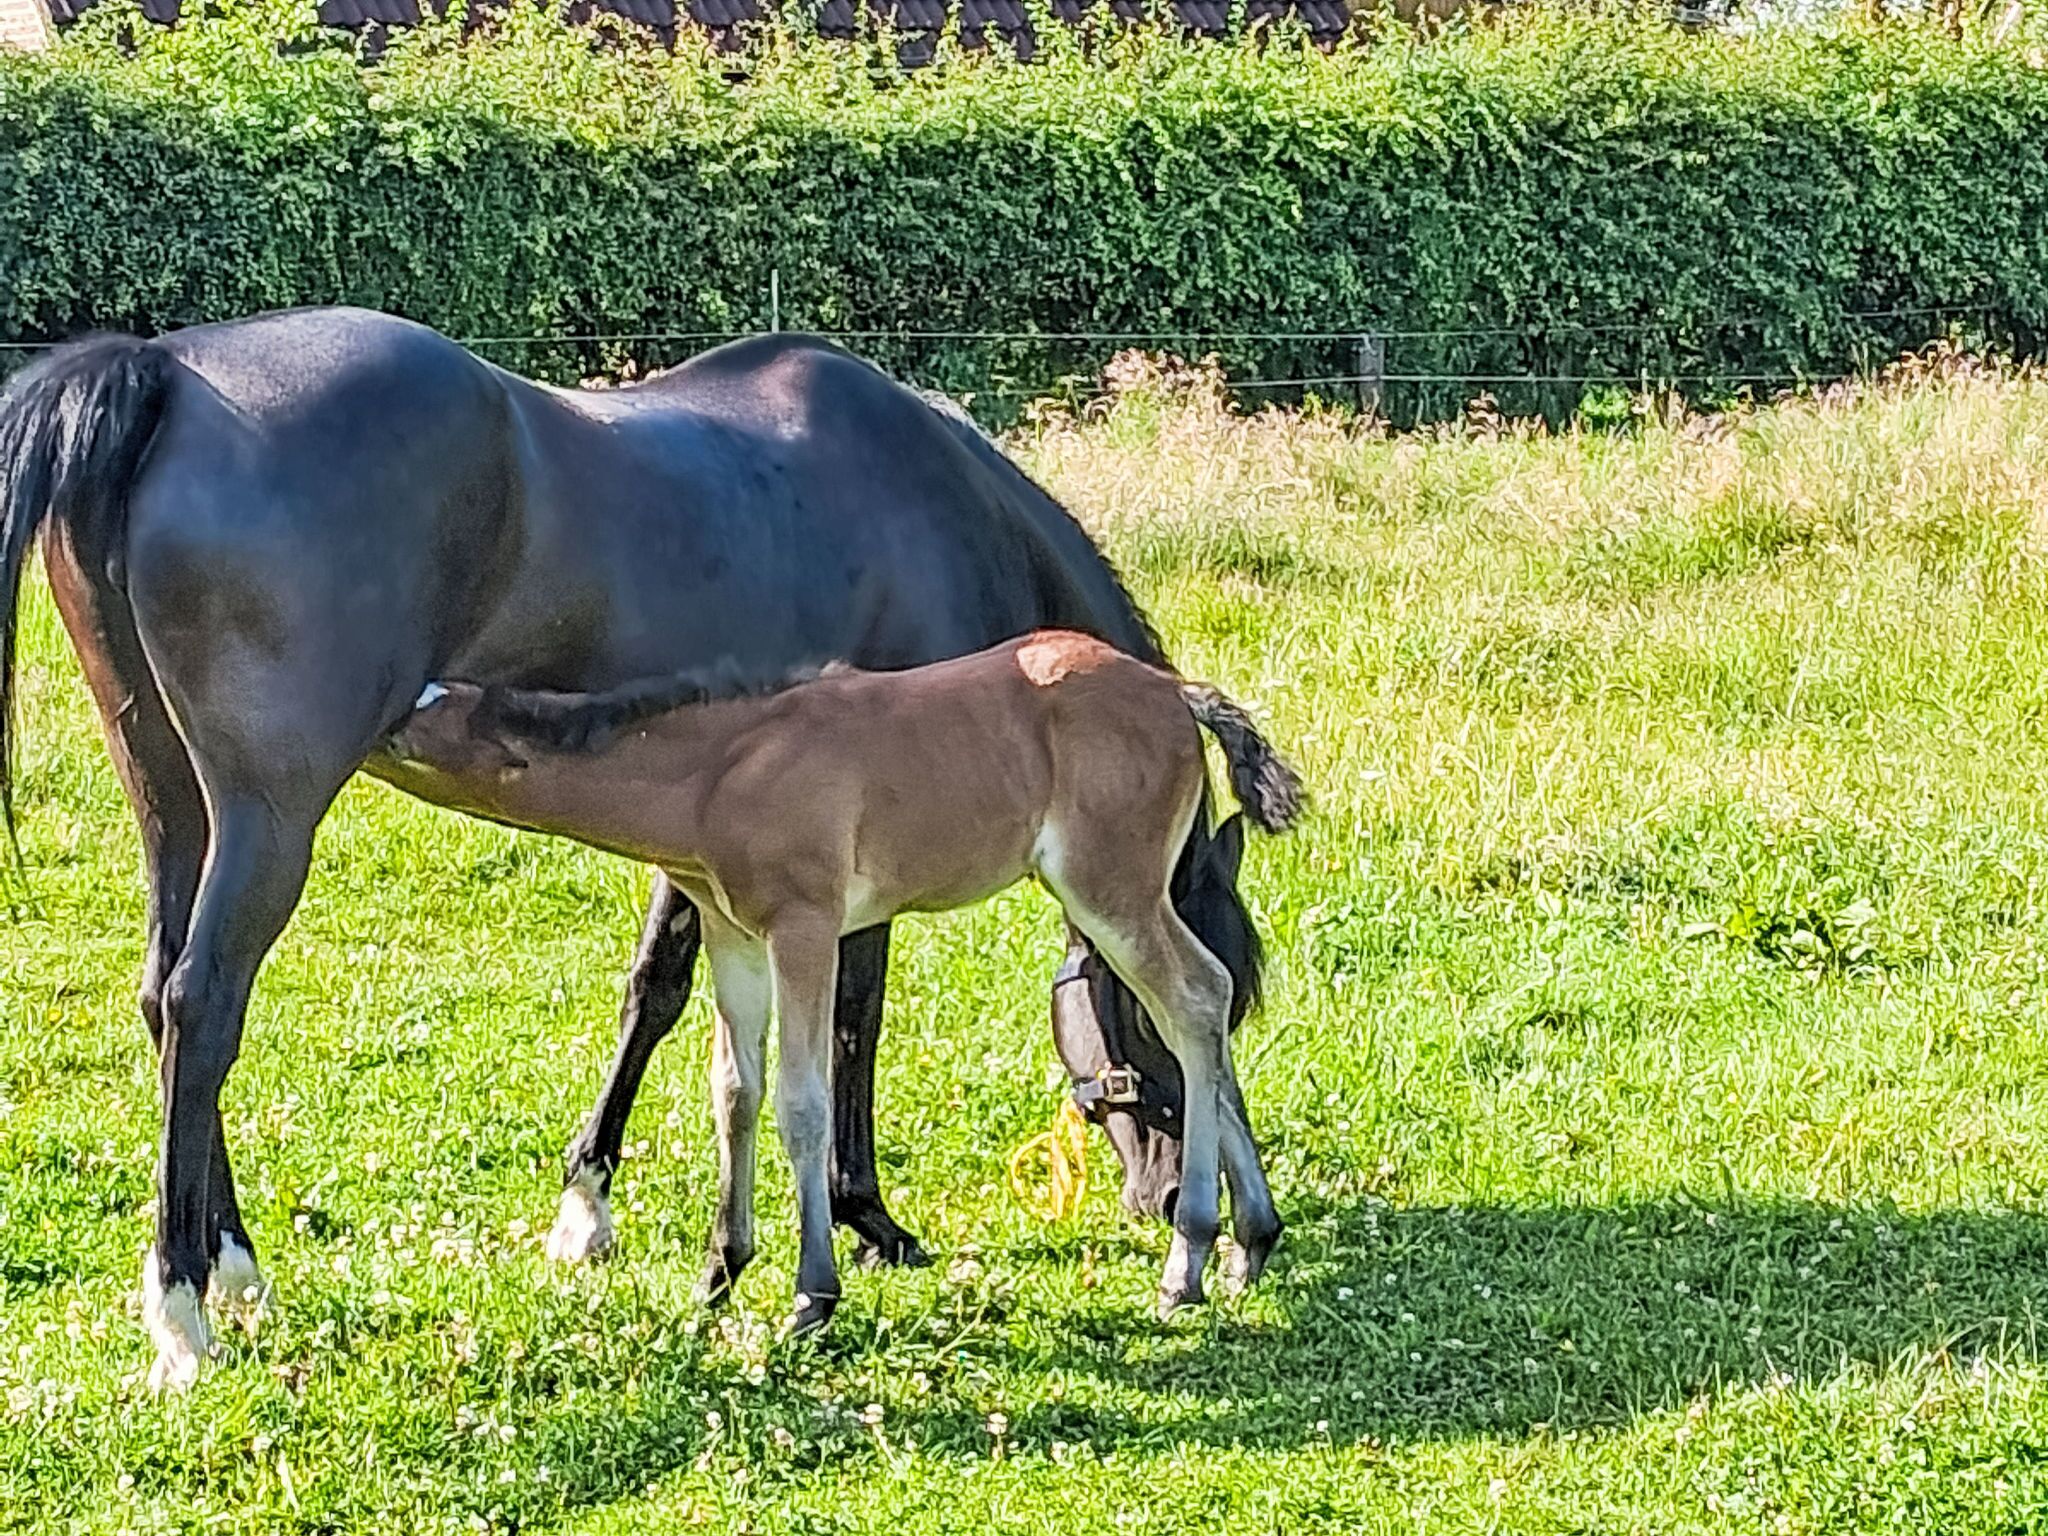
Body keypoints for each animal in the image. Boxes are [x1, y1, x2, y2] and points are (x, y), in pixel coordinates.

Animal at [384, 631, 1301, 1337]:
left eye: (421, 711)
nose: (370, 719)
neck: (720, 767)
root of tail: (1178, 692)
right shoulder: (732, 932)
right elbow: (734, 1090)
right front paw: (718, 1277)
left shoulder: (806, 926)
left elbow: (802, 1101)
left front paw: (811, 1297)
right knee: (1203, 1000)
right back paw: (1250, 1240)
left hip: (1111, 887)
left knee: (1193, 997)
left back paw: (1188, 1261)